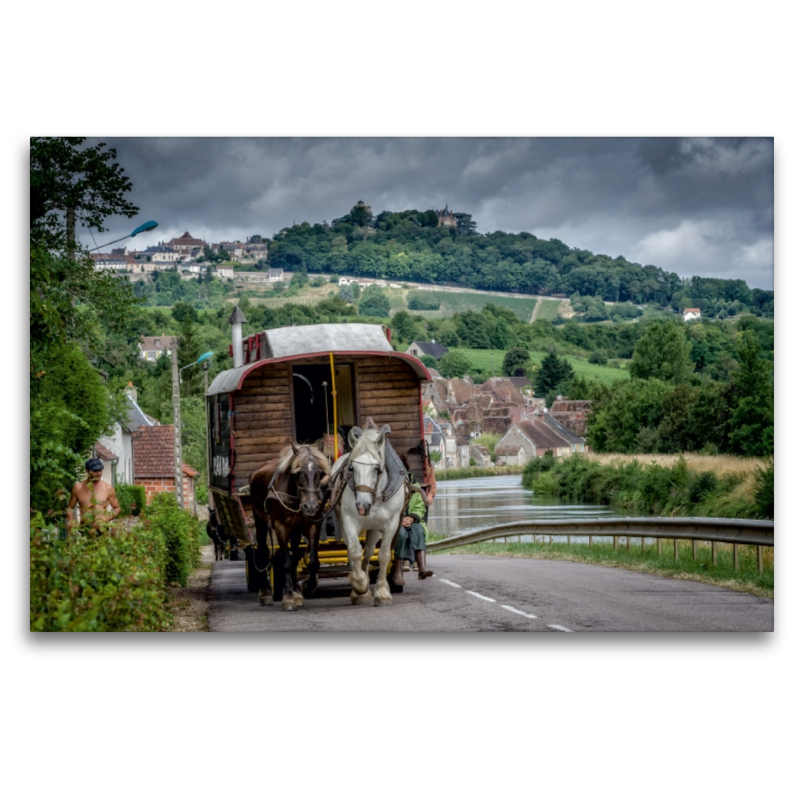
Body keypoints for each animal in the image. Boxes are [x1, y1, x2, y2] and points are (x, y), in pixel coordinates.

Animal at [247, 446, 328, 608]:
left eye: (320, 474)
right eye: (298, 474)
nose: (310, 506)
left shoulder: (312, 525)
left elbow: (311, 562)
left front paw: (305, 587)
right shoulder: (281, 528)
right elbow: (286, 562)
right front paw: (288, 597)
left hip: (296, 530)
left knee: (295, 555)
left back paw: (296, 590)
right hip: (260, 521)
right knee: (262, 551)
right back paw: (265, 593)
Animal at [330, 418, 406, 608]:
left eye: (377, 469)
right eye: (352, 468)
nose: (363, 506)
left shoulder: (391, 523)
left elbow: (384, 555)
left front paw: (383, 593)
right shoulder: (349, 520)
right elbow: (354, 551)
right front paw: (360, 586)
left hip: (374, 529)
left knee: (370, 552)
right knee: (355, 552)